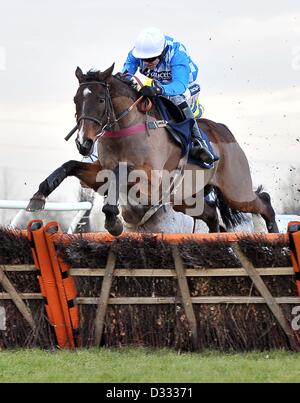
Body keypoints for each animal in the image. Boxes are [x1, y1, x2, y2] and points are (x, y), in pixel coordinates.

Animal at [26, 65, 278, 237]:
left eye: (100, 100)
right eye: (75, 100)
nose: (83, 142)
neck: (123, 132)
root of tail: (224, 131)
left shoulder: (151, 182)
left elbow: (120, 173)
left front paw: (113, 220)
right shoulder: (99, 174)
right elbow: (70, 166)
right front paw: (39, 195)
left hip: (235, 190)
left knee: (263, 201)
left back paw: (274, 233)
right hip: (185, 199)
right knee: (211, 214)